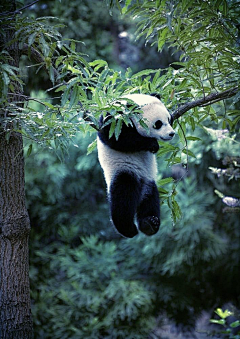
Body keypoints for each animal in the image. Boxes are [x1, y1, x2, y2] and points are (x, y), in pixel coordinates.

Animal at [97, 93, 174, 239]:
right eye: (158, 124)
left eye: (169, 119)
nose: (171, 133)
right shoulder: (115, 119)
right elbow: (116, 137)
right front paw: (152, 144)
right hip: (123, 170)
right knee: (123, 198)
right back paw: (128, 228)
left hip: (149, 181)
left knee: (150, 200)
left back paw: (149, 223)